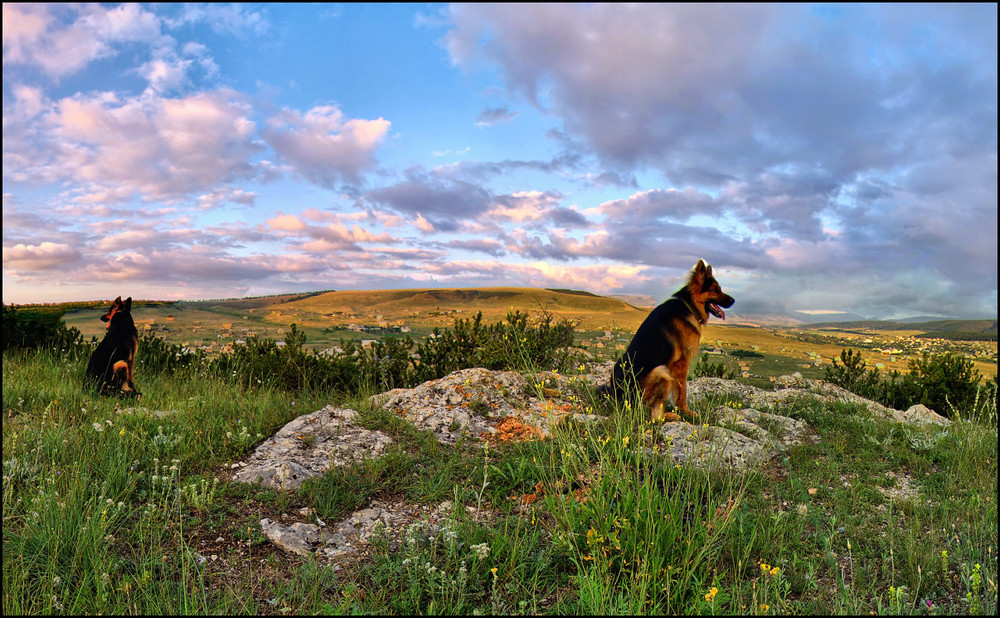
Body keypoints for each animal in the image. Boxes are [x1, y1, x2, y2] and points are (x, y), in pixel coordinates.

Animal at [600, 258, 736, 422]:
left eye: (719, 289)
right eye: (715, 290)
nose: (733, 300)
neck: (688, 306)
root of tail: (618, 396)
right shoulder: (681, 363)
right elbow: (681, 391)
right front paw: (686, 411)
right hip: (661, 373)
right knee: (653, 416)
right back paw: (670, 415)